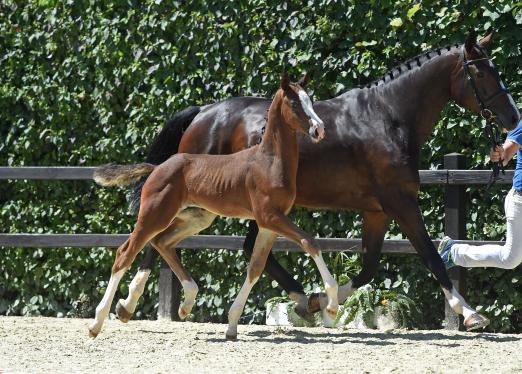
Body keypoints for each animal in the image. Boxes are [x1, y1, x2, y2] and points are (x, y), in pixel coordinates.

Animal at [88, 73, 334, 338]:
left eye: (310, 100)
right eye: (295, 103)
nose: (319, 129)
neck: (268, 161)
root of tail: (157, 167)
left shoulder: (268, 225)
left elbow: (256, 268)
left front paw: (232, 325)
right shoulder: (269, 216)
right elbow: (310, 242)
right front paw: (331, 305)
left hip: (195, 217)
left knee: (162, 242)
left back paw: (185, 303)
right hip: (155, 214)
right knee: (126, 252)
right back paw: (98, 322)